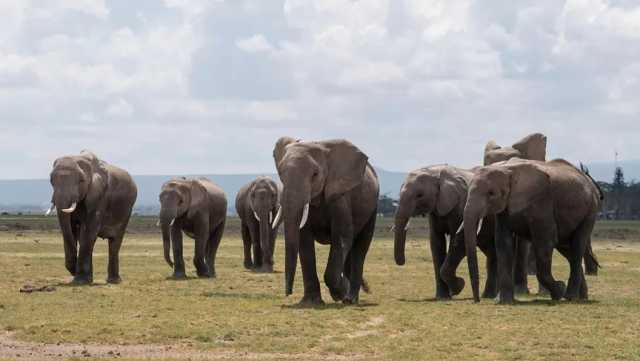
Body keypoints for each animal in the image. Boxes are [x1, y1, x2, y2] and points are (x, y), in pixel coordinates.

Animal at [47, 150, 138, 284]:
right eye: (51, 180)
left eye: (81, 180)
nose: (73, 270)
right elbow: (71, 229)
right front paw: (83, 279)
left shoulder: (100, 196)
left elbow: (89, 230)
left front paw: (80, 281)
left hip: (127, 210)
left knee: (115, 242)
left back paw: (114, 281)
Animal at [272, 136, 378, 304]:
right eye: (281, 174)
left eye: (315, 174)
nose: (288, 292)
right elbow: (304, 241)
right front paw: (310, 302)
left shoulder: (340, 197)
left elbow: (341, 237)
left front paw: (339, 293)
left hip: (372, 207)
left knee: (360, 248)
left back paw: (350, 298)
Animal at [392, 165, 498, 298]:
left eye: (419, 195)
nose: (403, 262)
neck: (435, 172)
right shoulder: (435, 210)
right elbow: (436, 243)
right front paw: (443, 297)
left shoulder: (459, 206)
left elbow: (459, 241)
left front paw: (459, 287)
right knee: (492, 253)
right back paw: (489, 295)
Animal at [462, 159, 604, 302]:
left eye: (491, 193)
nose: (477, 300)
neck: (507, 170)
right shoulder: (504, 209)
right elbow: (503, 243)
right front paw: (505, 302)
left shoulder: (540, 201)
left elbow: (545, 242)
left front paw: (559, 290)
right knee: (567, 250)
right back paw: (582, 297)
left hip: (590, 211)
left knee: (577, 247)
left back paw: (570, 297)